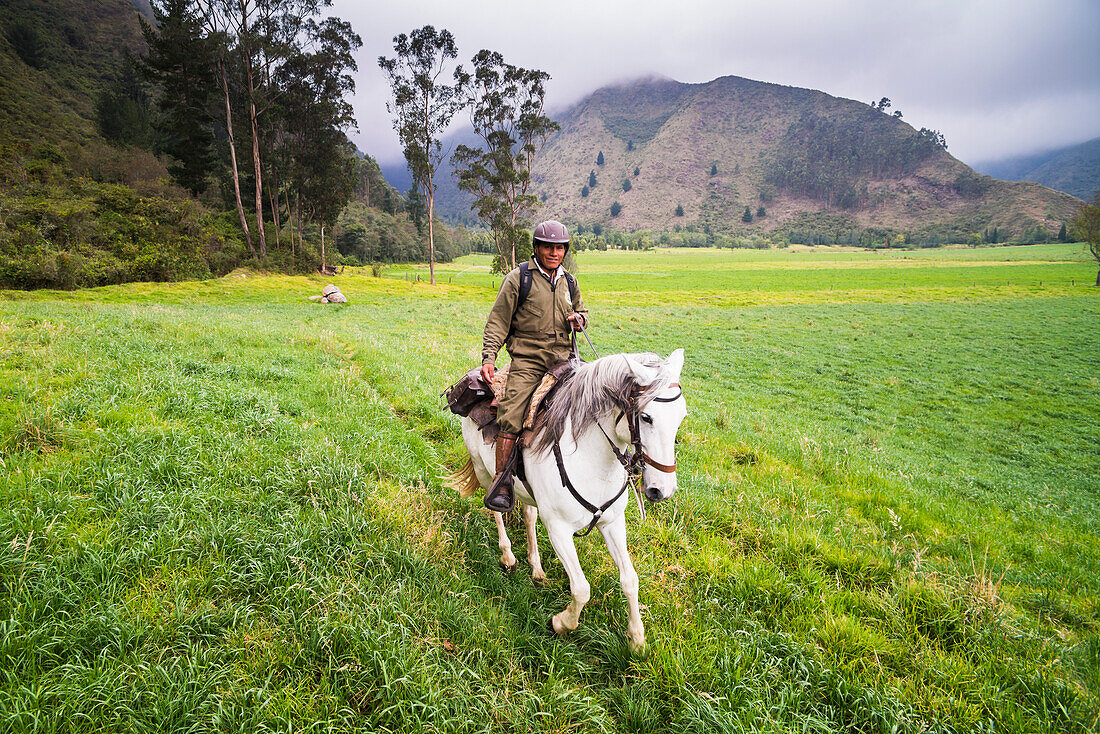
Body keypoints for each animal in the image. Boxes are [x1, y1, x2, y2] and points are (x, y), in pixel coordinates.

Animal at [451, 349, 682, 655]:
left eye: (681, 418)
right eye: (646, 417)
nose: (662, 490)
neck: (591, 457)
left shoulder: (612, 523)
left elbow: (630, 579)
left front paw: (637, 639)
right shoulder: (559, 530)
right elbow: (582, 589)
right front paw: (561, 623)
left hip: (524, 488)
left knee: (528, 514)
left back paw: (536, 567)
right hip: (484, 472)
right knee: (495, 509)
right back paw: (507, 555)